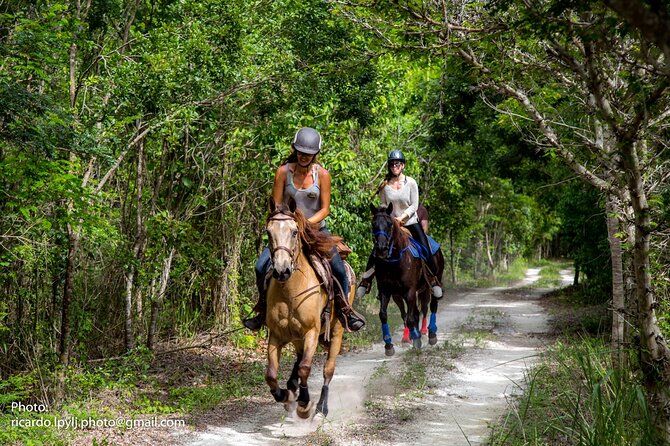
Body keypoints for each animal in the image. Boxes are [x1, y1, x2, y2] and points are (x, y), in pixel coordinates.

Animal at [264, 198, 355, 419]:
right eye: (268, 232)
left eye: (295, 231)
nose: (281, 270)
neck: (290, 291)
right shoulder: (277, 334)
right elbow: (271, 375)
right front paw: (285, 395)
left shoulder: (311, 331)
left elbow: (306, 367)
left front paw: (304, 404)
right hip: (297, 337)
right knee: (298, 359)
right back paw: (292, 387)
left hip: (336, 331)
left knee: (327, 369)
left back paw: (322, 406)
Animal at [369, 203, 445, 356]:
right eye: (373, 224)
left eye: (389, 224)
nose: (381, 248)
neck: (394, 261)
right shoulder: (386, 291)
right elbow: (384, 315)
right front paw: (389, 345)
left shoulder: (410, 291)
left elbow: (410, 318)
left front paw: (416, 339)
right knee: (416, 311)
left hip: (432, 283)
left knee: (431, 306)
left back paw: (431, 334)